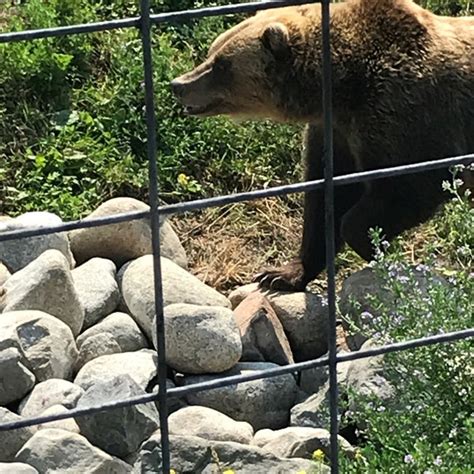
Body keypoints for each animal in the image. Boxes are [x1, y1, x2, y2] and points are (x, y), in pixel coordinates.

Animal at [172, 0, 472, 290]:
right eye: (212, 51)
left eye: (222, 64)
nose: (178, 84)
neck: (342, 87)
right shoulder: (335, 134)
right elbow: (326, 201)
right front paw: (281, 274)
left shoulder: (403, 112)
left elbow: (412, 184)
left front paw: (374, 246)